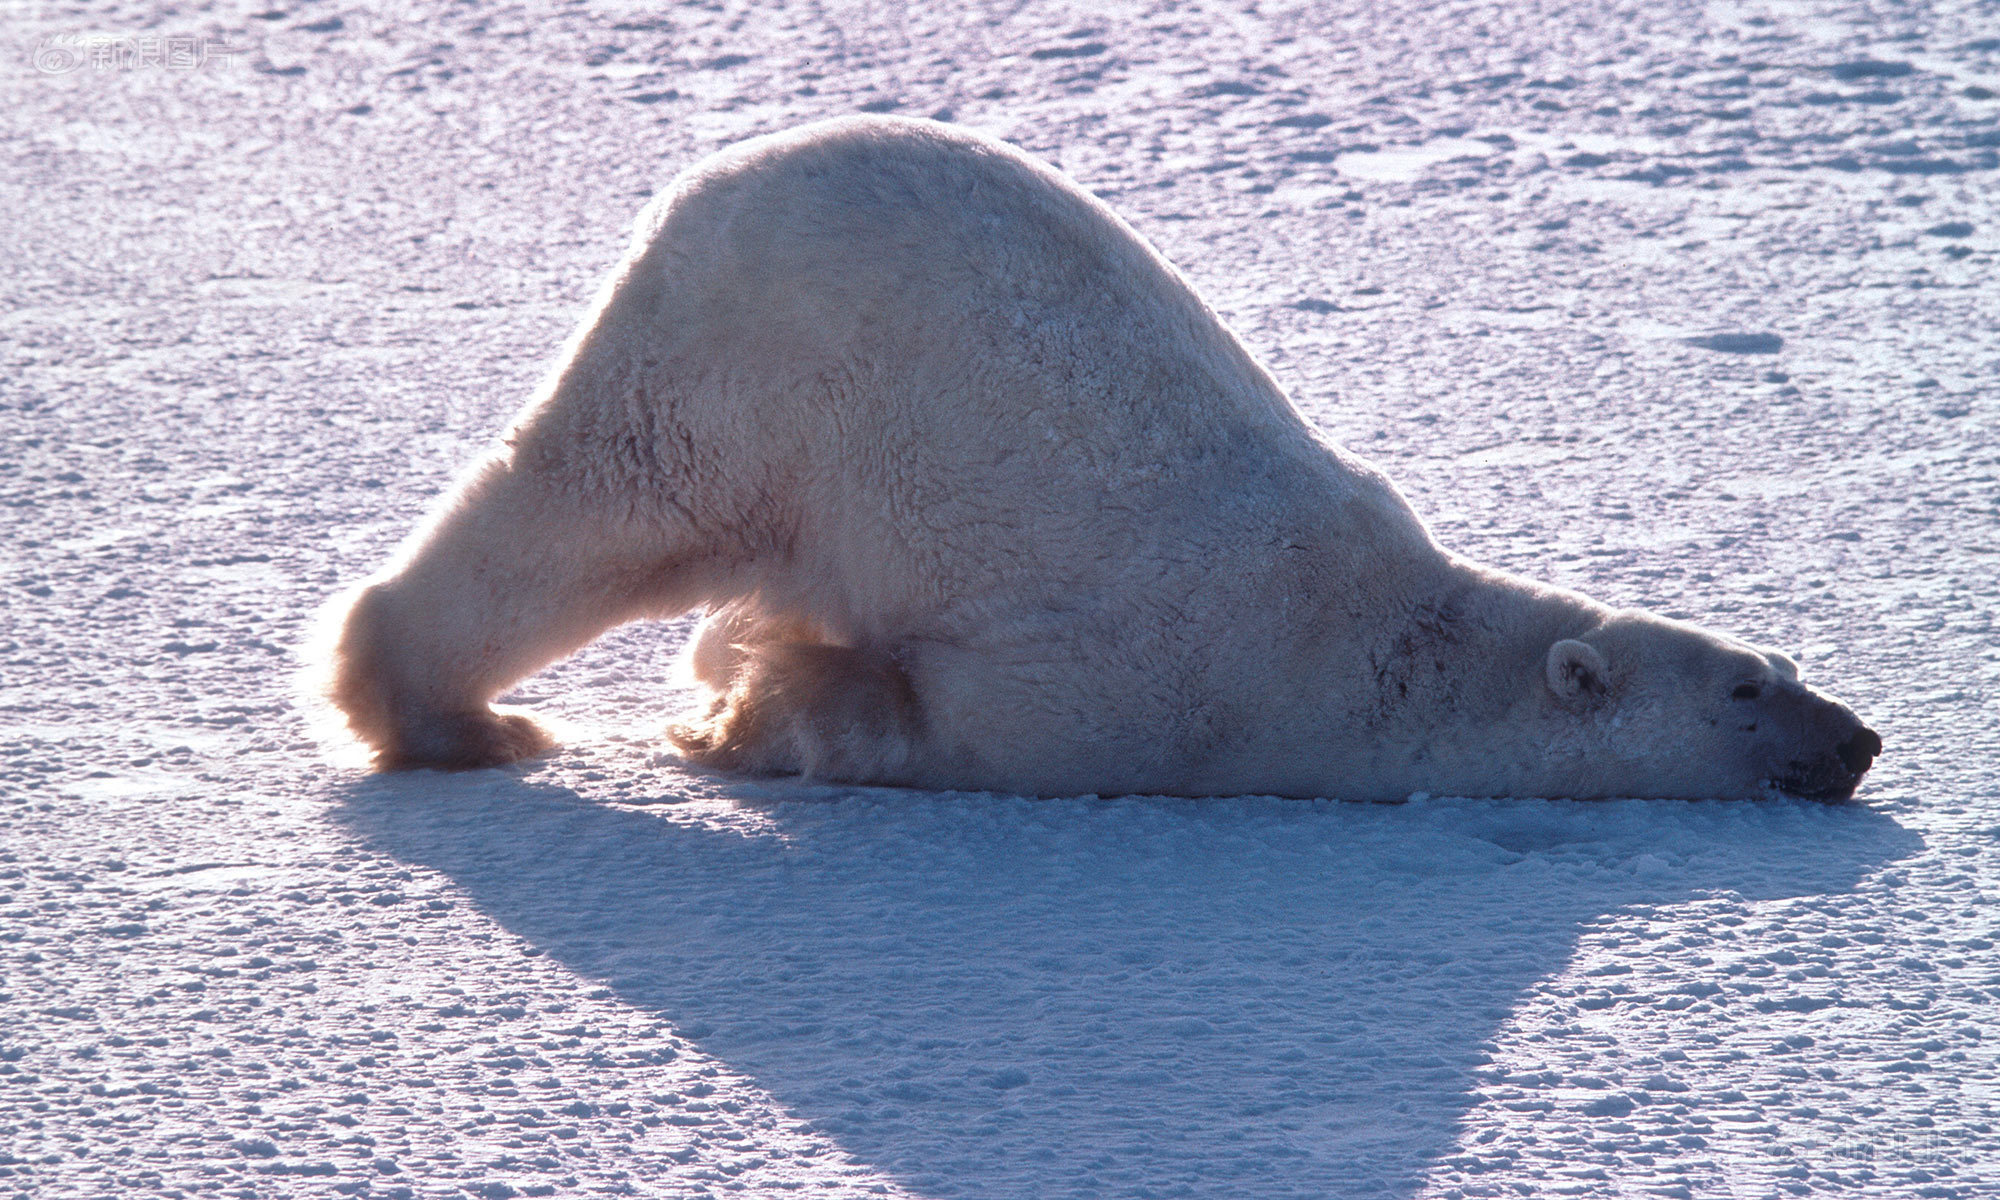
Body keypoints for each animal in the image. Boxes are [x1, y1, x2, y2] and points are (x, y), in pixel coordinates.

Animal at [320, 117, 1880, 800]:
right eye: (1749, 690)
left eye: (1786, 661)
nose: (1859, 739)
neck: (1364, 647)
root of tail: (718, 177)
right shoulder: (1154, 685)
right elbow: (940, 711)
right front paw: (753, 704)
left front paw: (733, 684)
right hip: (754, 373)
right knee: (598, 512)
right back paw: (453, 719)